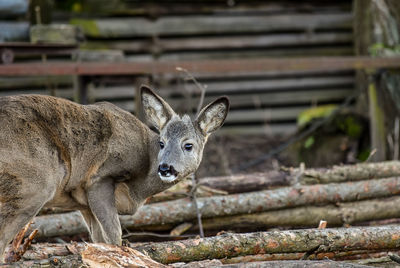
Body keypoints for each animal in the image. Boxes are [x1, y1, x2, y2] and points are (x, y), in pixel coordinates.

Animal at [0, 86, 230, 262]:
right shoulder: (98, 179)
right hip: (33, 184)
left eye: (188, 145)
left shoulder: (84, 204)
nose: (165, 168)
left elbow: (98, 241)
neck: (138, 189)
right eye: (162, 143)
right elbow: (114, 238)